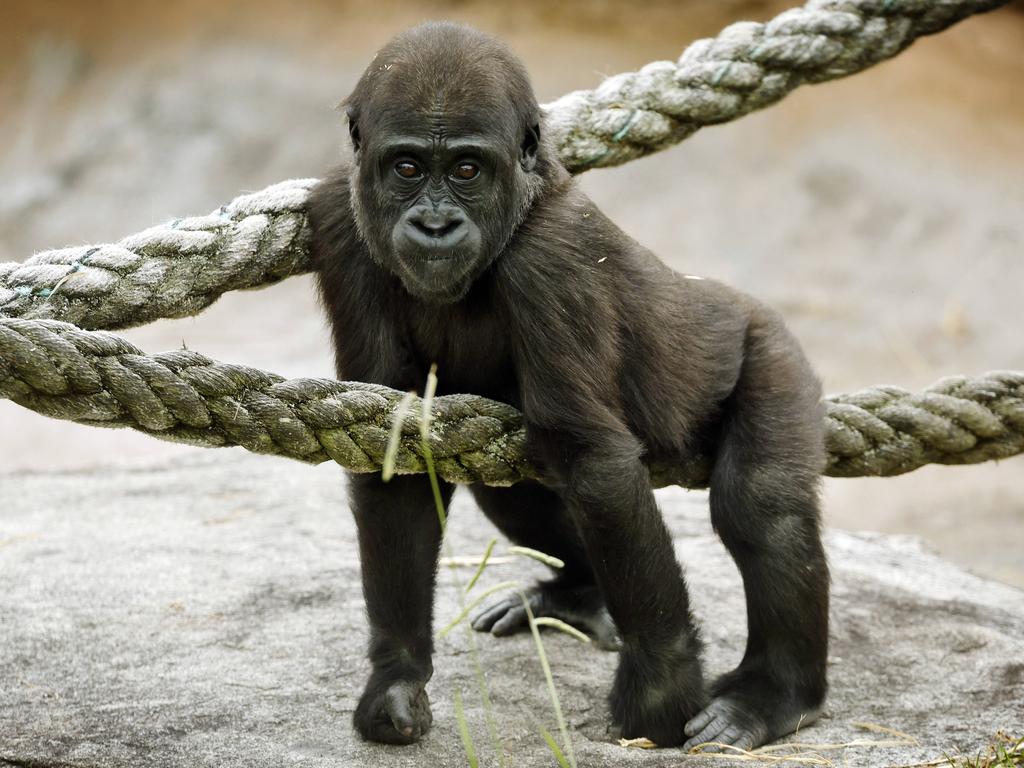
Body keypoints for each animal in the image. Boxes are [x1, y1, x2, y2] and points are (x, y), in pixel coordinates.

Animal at [307, 22, 827, 753]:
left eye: (466, 171)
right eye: (407, 169)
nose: (435, 225)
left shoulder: (551, 259)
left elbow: (592, 459)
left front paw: (660, 688)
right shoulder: (340, 222)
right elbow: (397, 450)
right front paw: (397, 678)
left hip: (770, 347)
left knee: (761, 505)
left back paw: (777, 697)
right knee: (516, 491)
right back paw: (576, 598)